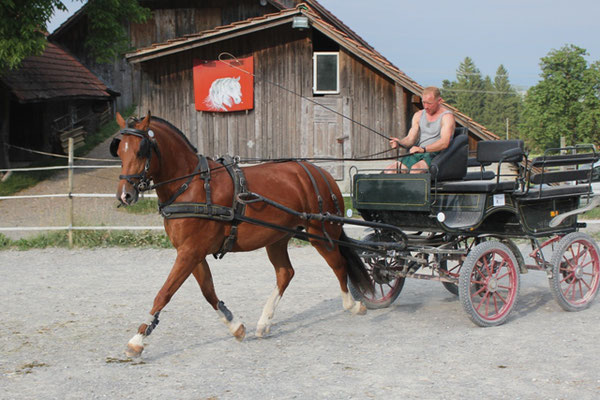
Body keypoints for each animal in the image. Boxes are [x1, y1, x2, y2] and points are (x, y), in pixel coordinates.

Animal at [112, 111, 372, 356]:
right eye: (120, 151)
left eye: (141, 151)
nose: (125, 195)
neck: (191, 185)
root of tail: (320, 172)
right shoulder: (192, 253)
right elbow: (208, 291)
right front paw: (234, 325)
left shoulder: (190, 252)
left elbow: (164, 293)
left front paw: (137, 340)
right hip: (277, 237)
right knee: (285, 273)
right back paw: (264, 322)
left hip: (322, 231)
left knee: (338, 264)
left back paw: (352, 304)